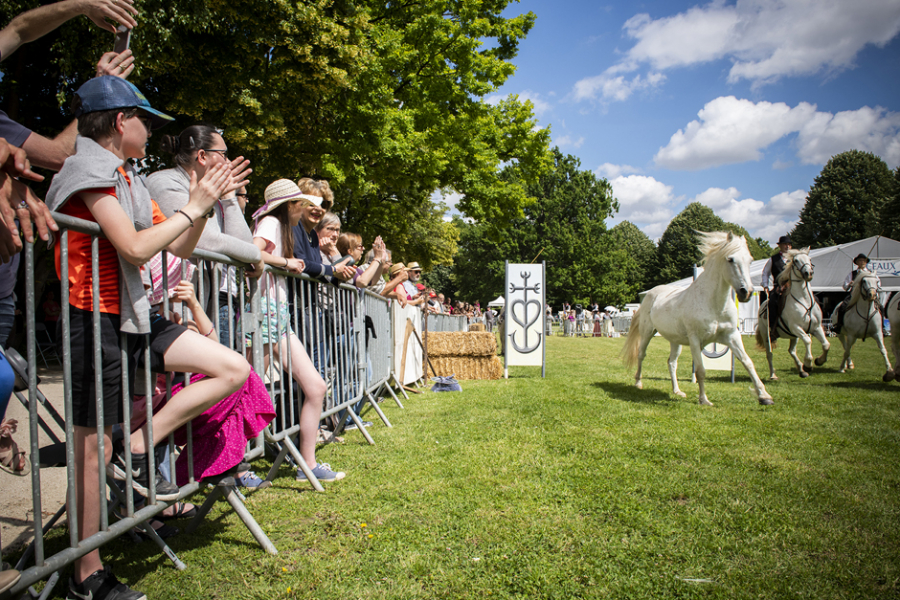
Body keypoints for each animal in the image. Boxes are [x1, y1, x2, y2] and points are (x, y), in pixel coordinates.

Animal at [620, 232, 772, 406]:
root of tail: (651, 294)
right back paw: (638, 383)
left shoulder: (732, 336)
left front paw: (765, 396)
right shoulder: (695, 340)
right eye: (730, 259)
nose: (746, 292)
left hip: (675, 341)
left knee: (672, 362)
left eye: (750, 260)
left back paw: (677, 391)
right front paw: (704, 400)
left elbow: (748, 362)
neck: (713, 304)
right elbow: (700, 371)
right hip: (647, 333)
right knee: (641, 355)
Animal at [752, 248, 828, 380]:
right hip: (767, 335)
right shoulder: (796, 327)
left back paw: (801, 370)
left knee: (791, 351)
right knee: (769, 354)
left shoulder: (816, 327)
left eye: (810, 259)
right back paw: (773, 375)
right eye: (796, 260)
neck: (804, 301)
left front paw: (819, 361)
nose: (808, 273)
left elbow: (825, 344)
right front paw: (808, 364)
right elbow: (808, 341)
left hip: (793, 336)